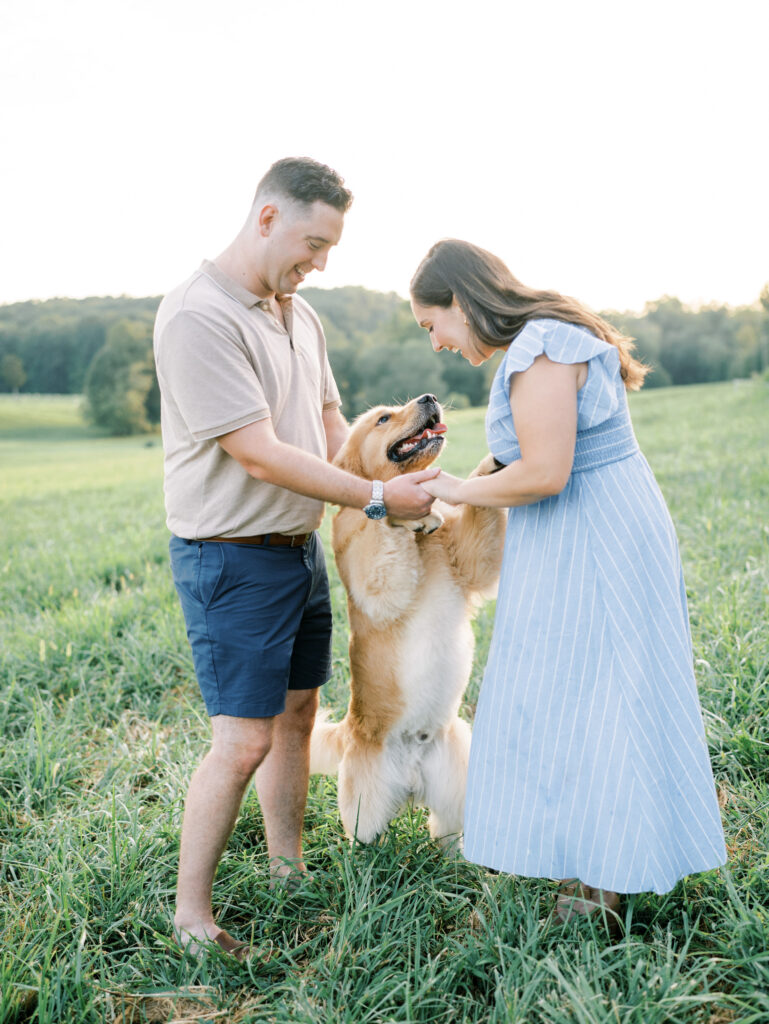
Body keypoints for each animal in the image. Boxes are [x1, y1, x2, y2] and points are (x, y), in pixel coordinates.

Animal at [309, 391, 507, 847]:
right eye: (383, 418)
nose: (429, 397)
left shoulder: (470, 559)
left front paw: (490, 465)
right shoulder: (376, 577)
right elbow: (381, 519)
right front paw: (412, 514)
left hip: (457, 779)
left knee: (447, 833)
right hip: (364, 809)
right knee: (365, 840)